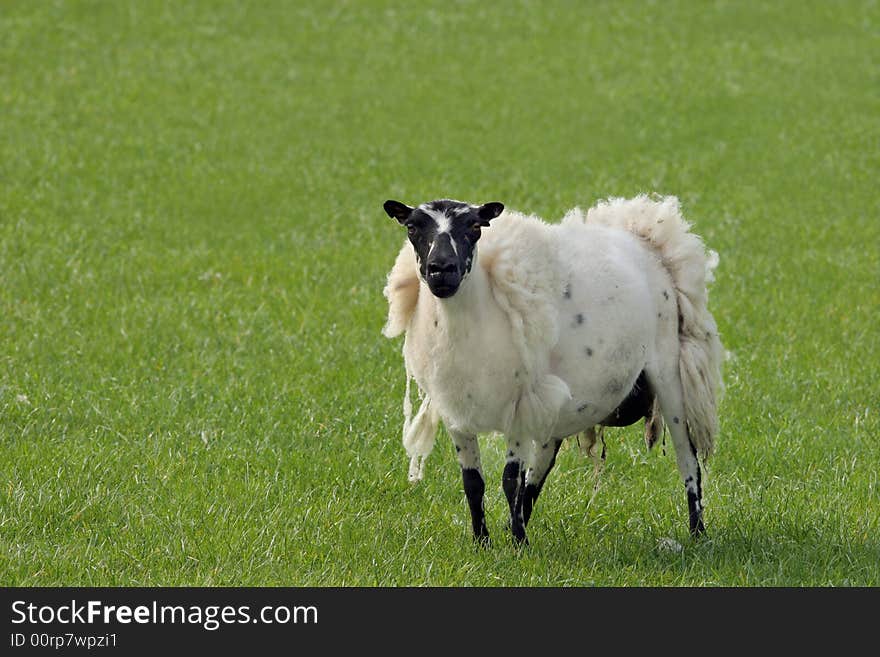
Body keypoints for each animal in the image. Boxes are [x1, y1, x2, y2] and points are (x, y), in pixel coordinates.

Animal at [384, 195, 720, 544]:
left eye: (475, 227)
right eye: (412, 227)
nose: (442, 269)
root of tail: (643, 233)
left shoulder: (518, 407)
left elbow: (509, 480)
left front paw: (518, 545)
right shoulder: (456, 412)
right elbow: (473, 483)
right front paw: (482, 542)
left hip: (668, 370)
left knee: (688, 457)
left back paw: (697, 532)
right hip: (555, 400)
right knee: (542, 465)